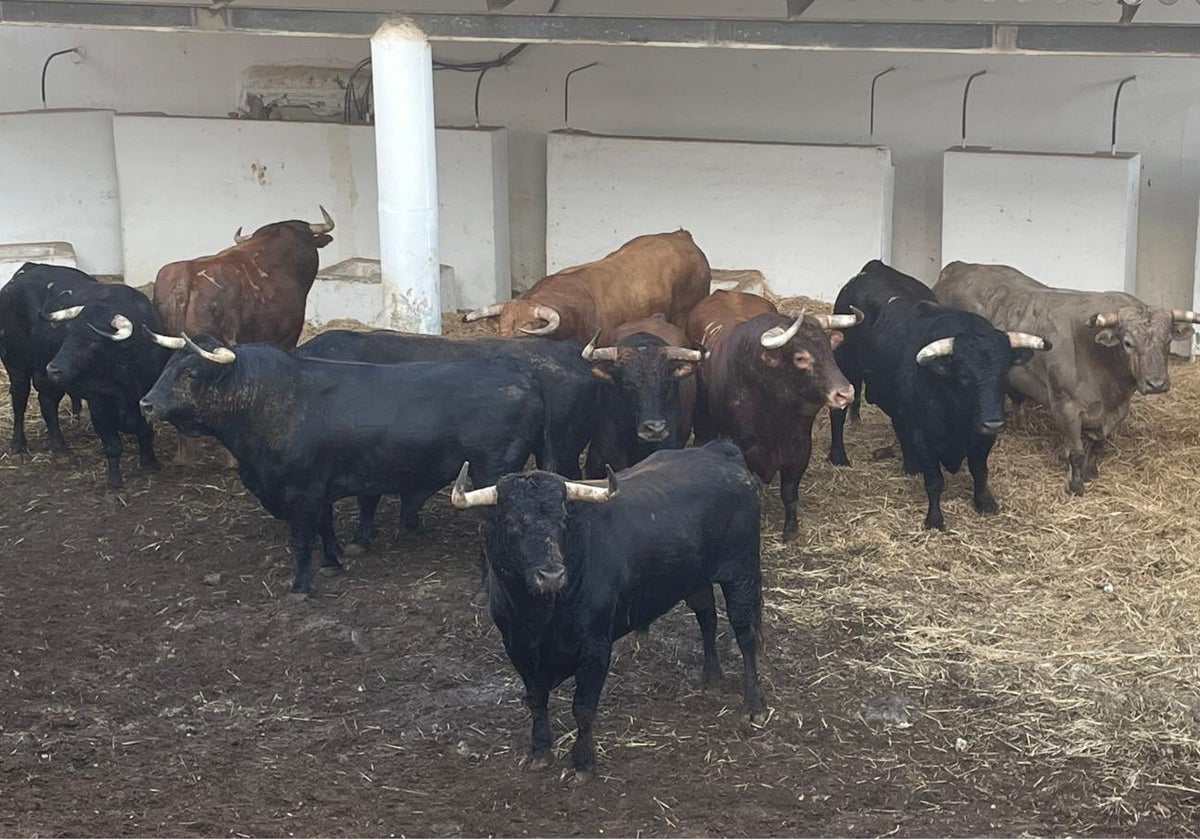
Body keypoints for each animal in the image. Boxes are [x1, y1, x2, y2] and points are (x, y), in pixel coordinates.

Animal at [686, 291, 864, 542]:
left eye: (829, 350)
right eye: (800, 358)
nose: (845, 393)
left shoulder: (799, 451)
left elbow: (789, 493)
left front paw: (791, 529)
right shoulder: (742, 449)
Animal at [936, 262, 1200, 494]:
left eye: (1168, 341)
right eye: (1127, 343)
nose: (1156, 384)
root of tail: (957, 268)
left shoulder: (1115, 412)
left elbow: (1097, 444)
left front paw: (1091, 472)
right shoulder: (1066, 406)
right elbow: (1076, 452)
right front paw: (1075, 485)